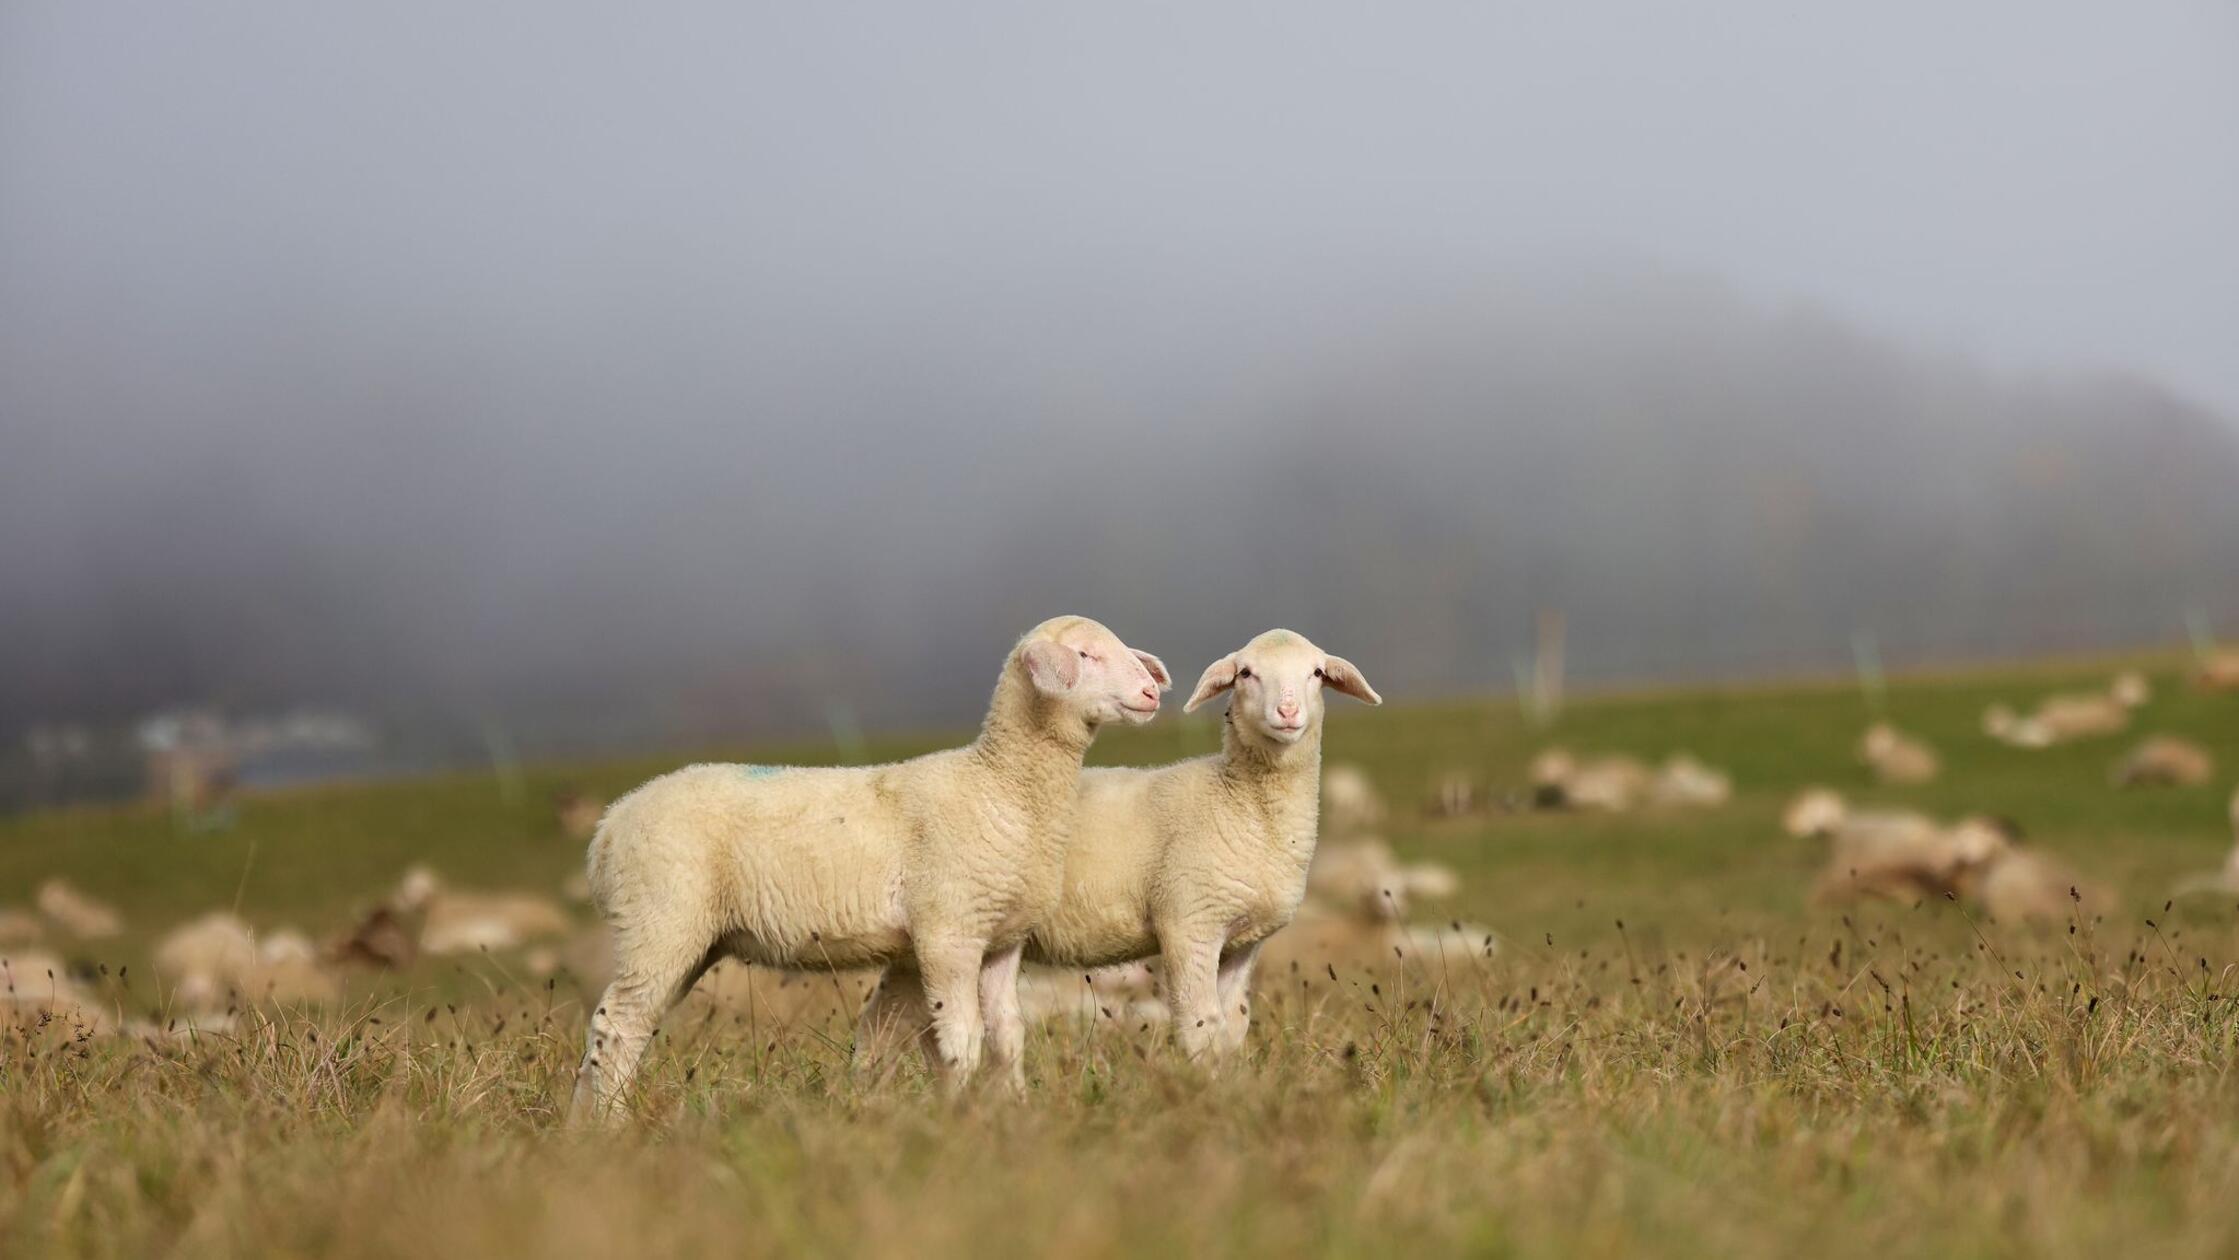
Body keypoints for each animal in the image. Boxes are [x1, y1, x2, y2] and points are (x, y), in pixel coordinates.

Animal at [572, 616, 1167, 1118]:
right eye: (1086, 654)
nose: (1151, 693)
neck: (999, 786)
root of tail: (608, 828)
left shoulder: (1001, 939)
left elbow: (1006, 1036)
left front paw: (1012, 1110)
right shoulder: (948, 933)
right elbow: (961, 1039)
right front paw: (959, 1114)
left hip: (688, 939)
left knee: (611, 1030)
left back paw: (582, 1127)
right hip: (661, 922)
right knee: (619, 1026)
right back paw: (612, 1121)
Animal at [858, 628, 1379, 1066]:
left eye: (1316, 673)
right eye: (1246, 674)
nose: (1288, 713)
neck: (1240, 802)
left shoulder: (1242, 943)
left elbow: (1232, 1027)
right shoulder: (1189, 923)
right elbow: (1199, 1024)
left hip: (916, 947)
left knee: (878, 1027)